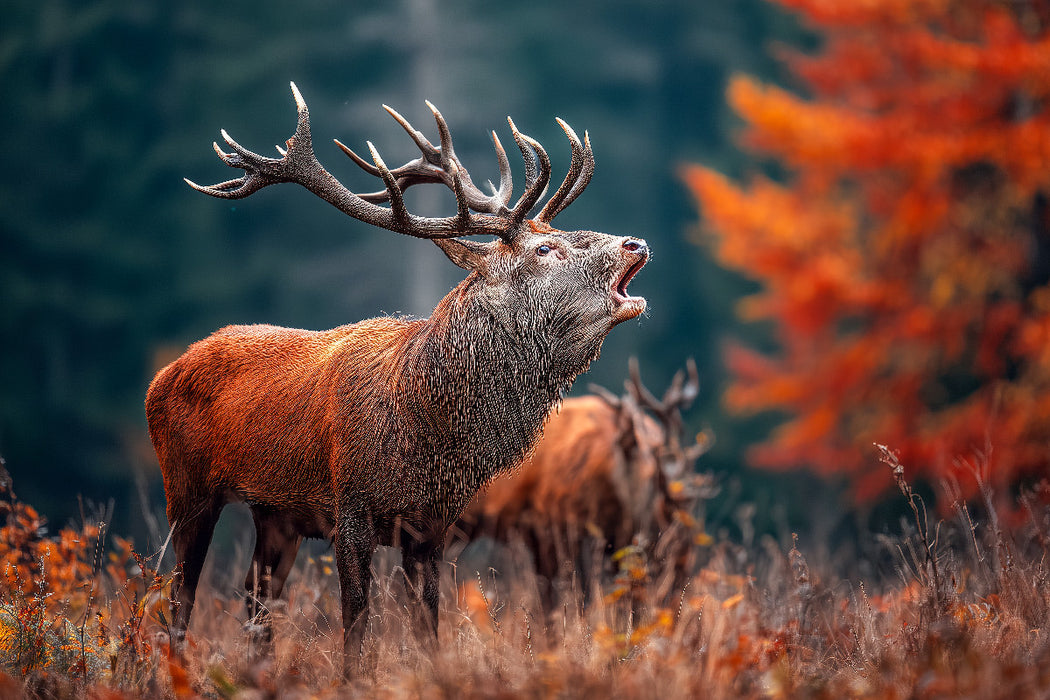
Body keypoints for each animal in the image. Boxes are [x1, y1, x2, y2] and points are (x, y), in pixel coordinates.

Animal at [145, 82, 649, 671]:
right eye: (545, 248)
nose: (636, 243)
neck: (425, 426)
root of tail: (162, 375)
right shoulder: (350, 508)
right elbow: (357, 626)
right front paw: (351, 678)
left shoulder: (431, 526)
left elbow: (428, 629)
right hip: (186, 488)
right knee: (180, 598)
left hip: (275, 515)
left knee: (253, 599)